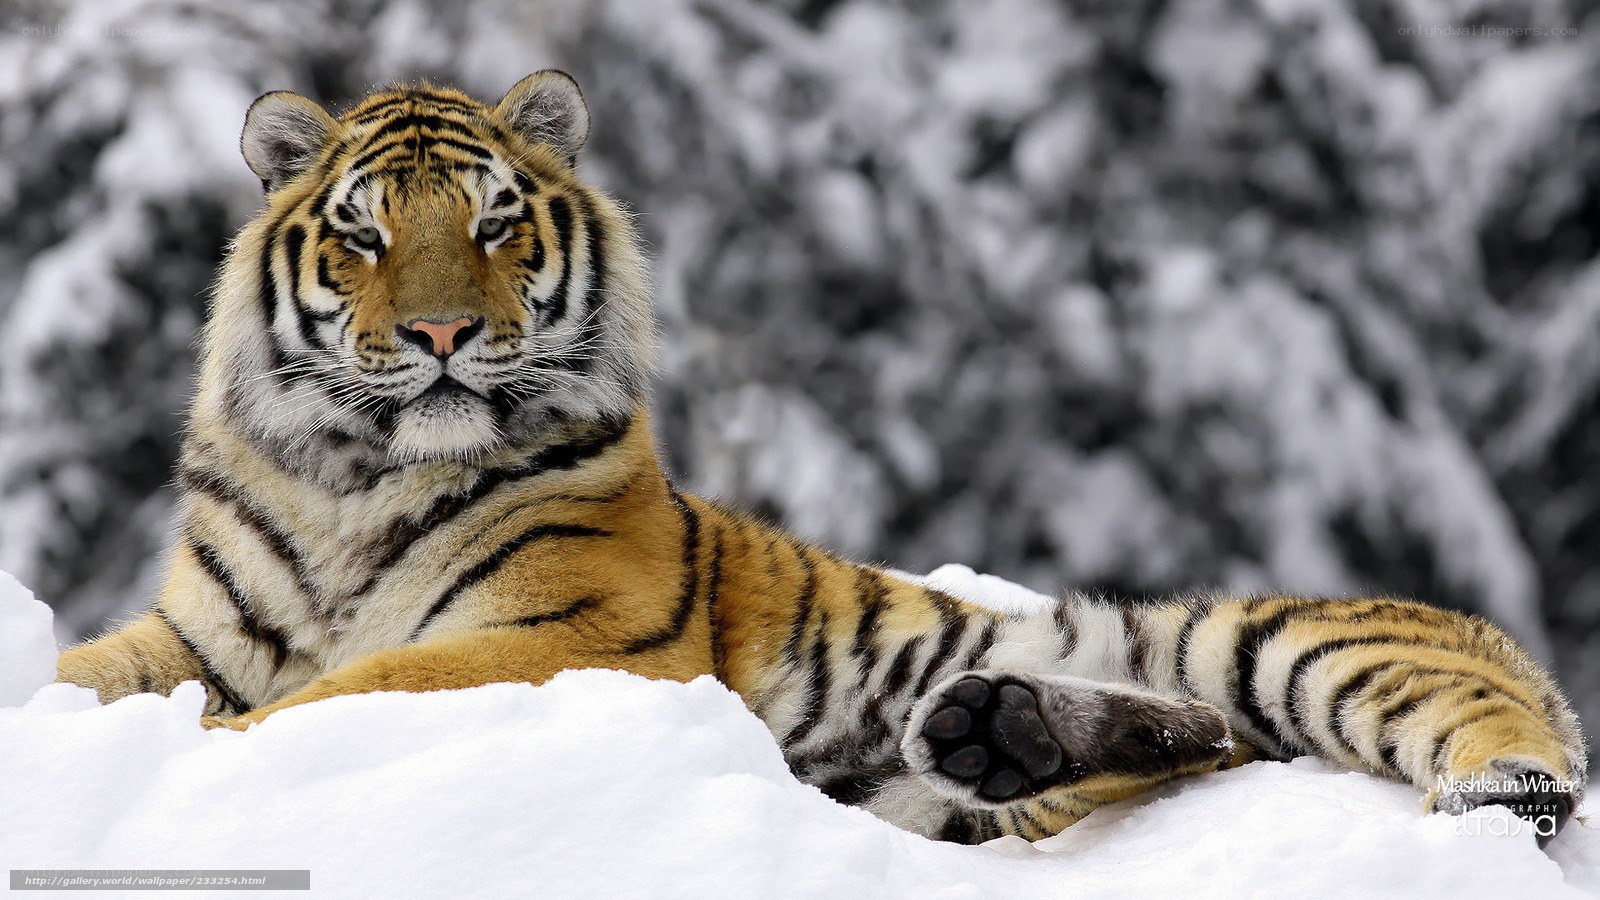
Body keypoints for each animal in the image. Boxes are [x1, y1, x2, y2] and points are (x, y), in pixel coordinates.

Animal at [55, 70, 1586, 848]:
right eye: (364, 233)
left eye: (493, 223)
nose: (439, 332)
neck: (352, 482)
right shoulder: (199, 634)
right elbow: (91, 676)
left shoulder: (566, 632)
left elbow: (339, 698)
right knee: (1171, 749)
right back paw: (1006, 734)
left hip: (1270, 641)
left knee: (1452, 717)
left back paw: (1499, 787)